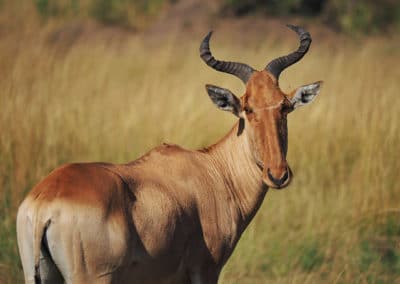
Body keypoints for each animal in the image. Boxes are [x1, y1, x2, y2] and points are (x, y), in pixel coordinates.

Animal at [17, 25, 322, 284]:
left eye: (284, 105)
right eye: (247, 107)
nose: (277, 174)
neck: (213, 170)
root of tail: (44, 204)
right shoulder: (205, 270)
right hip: (92, 278)